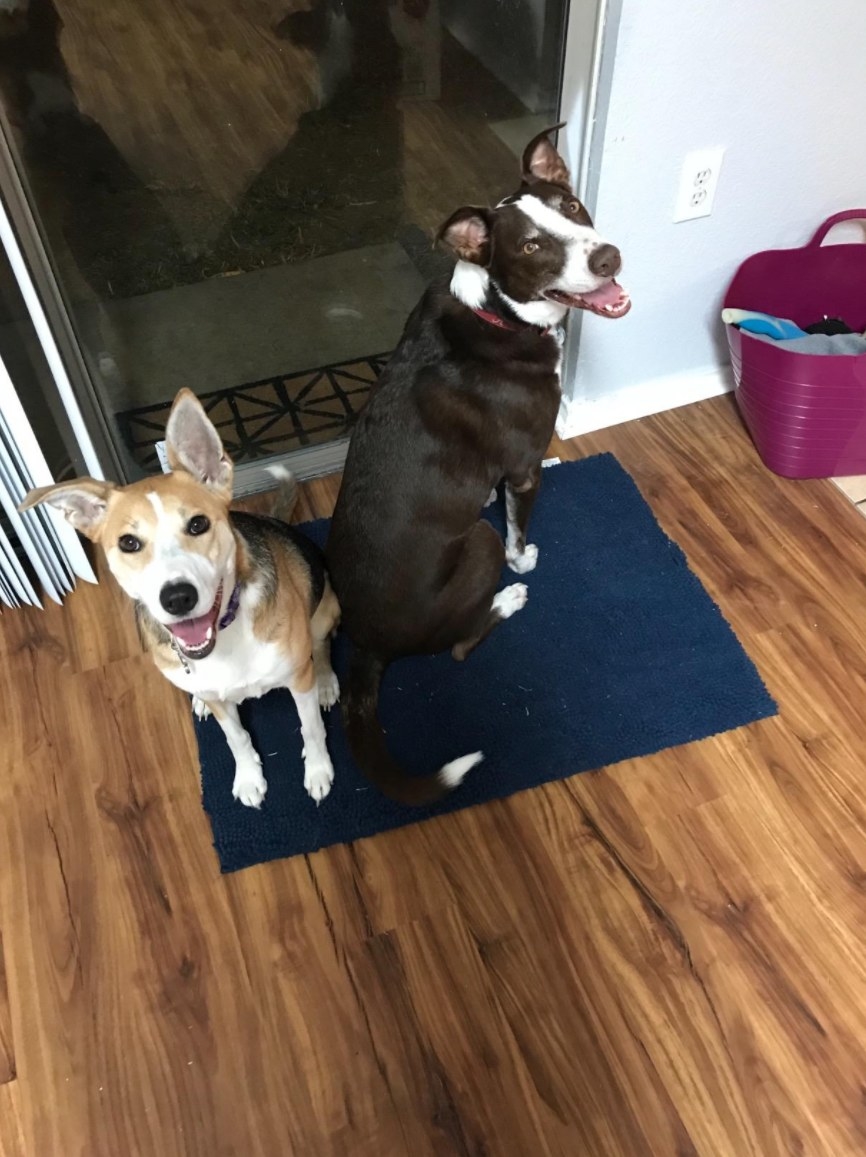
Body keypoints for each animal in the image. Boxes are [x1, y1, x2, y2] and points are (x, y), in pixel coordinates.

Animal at [20, 386, 338, 805]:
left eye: (198, 524)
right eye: (129, 543)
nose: (176, 598)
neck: (225, 637)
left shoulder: (298, 680)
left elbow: (311, 728)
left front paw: (318, 771)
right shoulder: (222, 704)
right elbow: (236, 738)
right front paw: (248, 777)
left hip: (326, 611)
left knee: (321, 646)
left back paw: (327, 681)